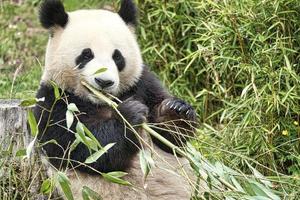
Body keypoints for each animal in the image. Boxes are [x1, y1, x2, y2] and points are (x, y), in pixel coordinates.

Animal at [34, 0, 198, 200]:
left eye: (117, 56)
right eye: (86, 55)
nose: (104, 82)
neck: (100, 100)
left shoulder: (142, 84)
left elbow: (172, 143)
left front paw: (176, 112)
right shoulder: (55, 103)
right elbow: (90, 148)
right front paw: (130, 115)